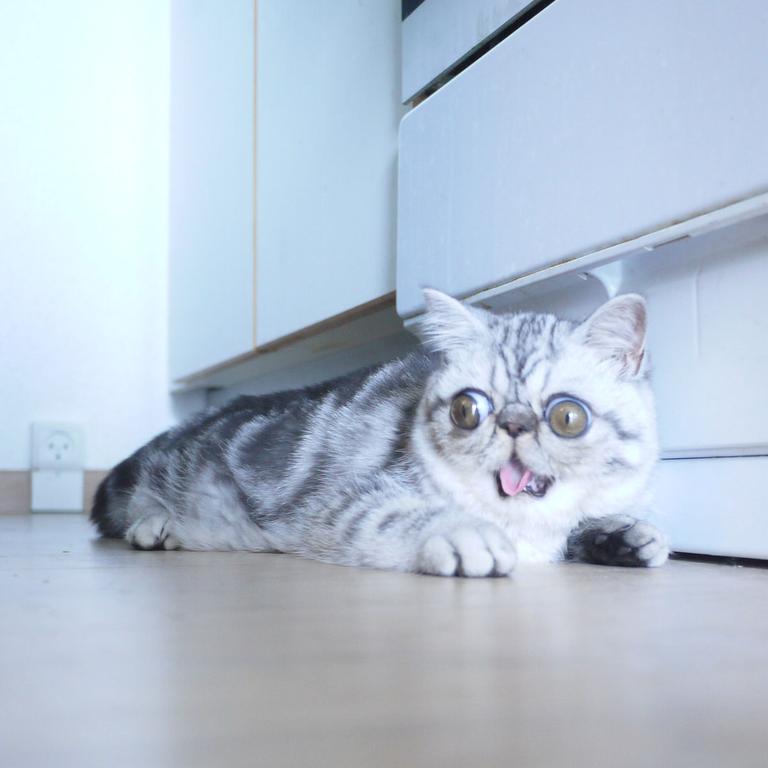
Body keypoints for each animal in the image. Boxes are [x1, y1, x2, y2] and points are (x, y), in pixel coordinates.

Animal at [88, 288, 664, 576]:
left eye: (568, 417)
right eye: (468, 409)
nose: (514, 423)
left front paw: (622, 536)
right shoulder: (336, 507)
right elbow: (401, 515)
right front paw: (467, 533)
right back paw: (155, 526)